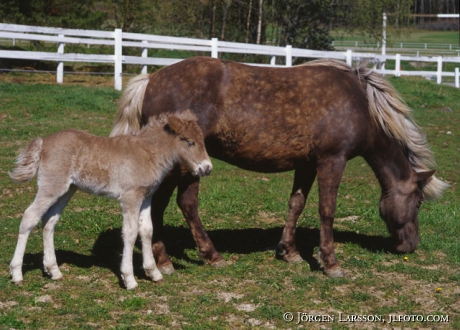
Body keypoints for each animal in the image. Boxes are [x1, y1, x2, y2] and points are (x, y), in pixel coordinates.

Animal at [8, 110, 212, 288]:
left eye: (203, 141)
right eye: (190, 142)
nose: (207, 168)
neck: (146, 153)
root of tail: (44, 142)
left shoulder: (146, 197)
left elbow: (147, 230)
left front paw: (153, 273)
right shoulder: (130, 197)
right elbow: (130, 233)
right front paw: (129, 279)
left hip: (67, 190)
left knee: (49, 221)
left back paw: (54, 271)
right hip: (51, 187)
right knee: (29, 216)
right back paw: (17, 274)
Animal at [109, 56, 448, 276]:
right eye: (418, 202)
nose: (411, 246)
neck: (361, 104)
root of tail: (151, 79)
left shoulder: (307, 165)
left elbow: (296, 204)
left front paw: (290, 252)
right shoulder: (332, 161)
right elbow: (327, 210)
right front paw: (330, 262)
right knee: (179, 203)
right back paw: (193, 258)